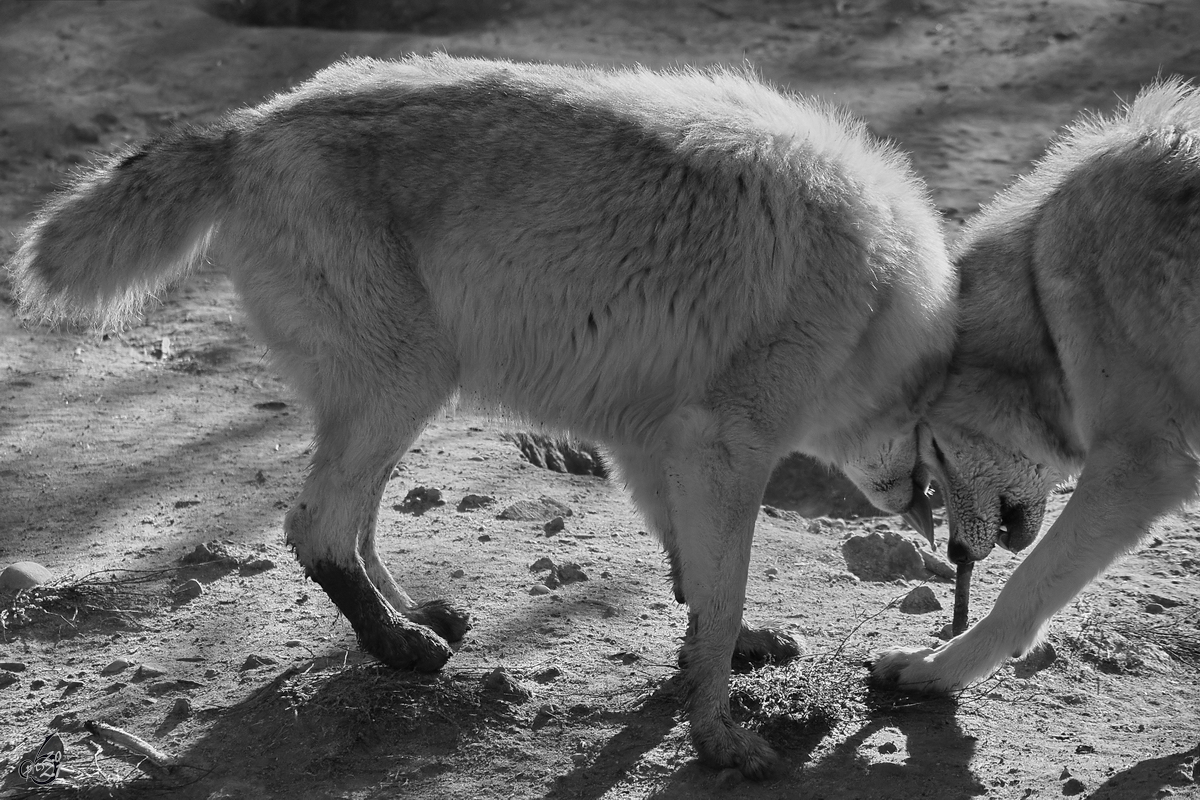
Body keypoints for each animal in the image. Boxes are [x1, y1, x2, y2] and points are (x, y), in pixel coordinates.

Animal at [7, 51, 955, 777]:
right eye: (948, 452)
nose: (940, 529)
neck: (880, 295)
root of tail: (247, 125)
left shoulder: (655, 444)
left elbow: (695, 578)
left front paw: (729, 656)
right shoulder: (722, 446)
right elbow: (716, 592)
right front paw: (721, 736)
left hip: (396, 399)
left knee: (354, 524)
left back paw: (417, 618)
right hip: (407, 383)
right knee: (315, 527)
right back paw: (401, 649)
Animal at [873, 79, 1200, 695]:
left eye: (934, 451)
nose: (953, 551)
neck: (1041, 295)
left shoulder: (1141, 463)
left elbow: (1023, 585)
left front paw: (940, 666)